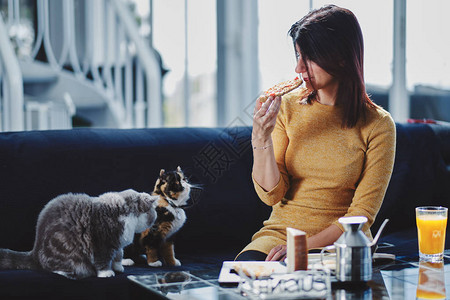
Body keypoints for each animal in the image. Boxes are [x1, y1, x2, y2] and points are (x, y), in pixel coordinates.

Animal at [0, 189, 156, 280]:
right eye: (153, 213)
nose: (154, 222)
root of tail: (34, 252)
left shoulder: (117, 243)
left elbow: (118, 255)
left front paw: (118, 267)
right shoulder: (102, 241)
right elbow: (103, 259)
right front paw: (106, 273)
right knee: (51, 268)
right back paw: (67, 272)